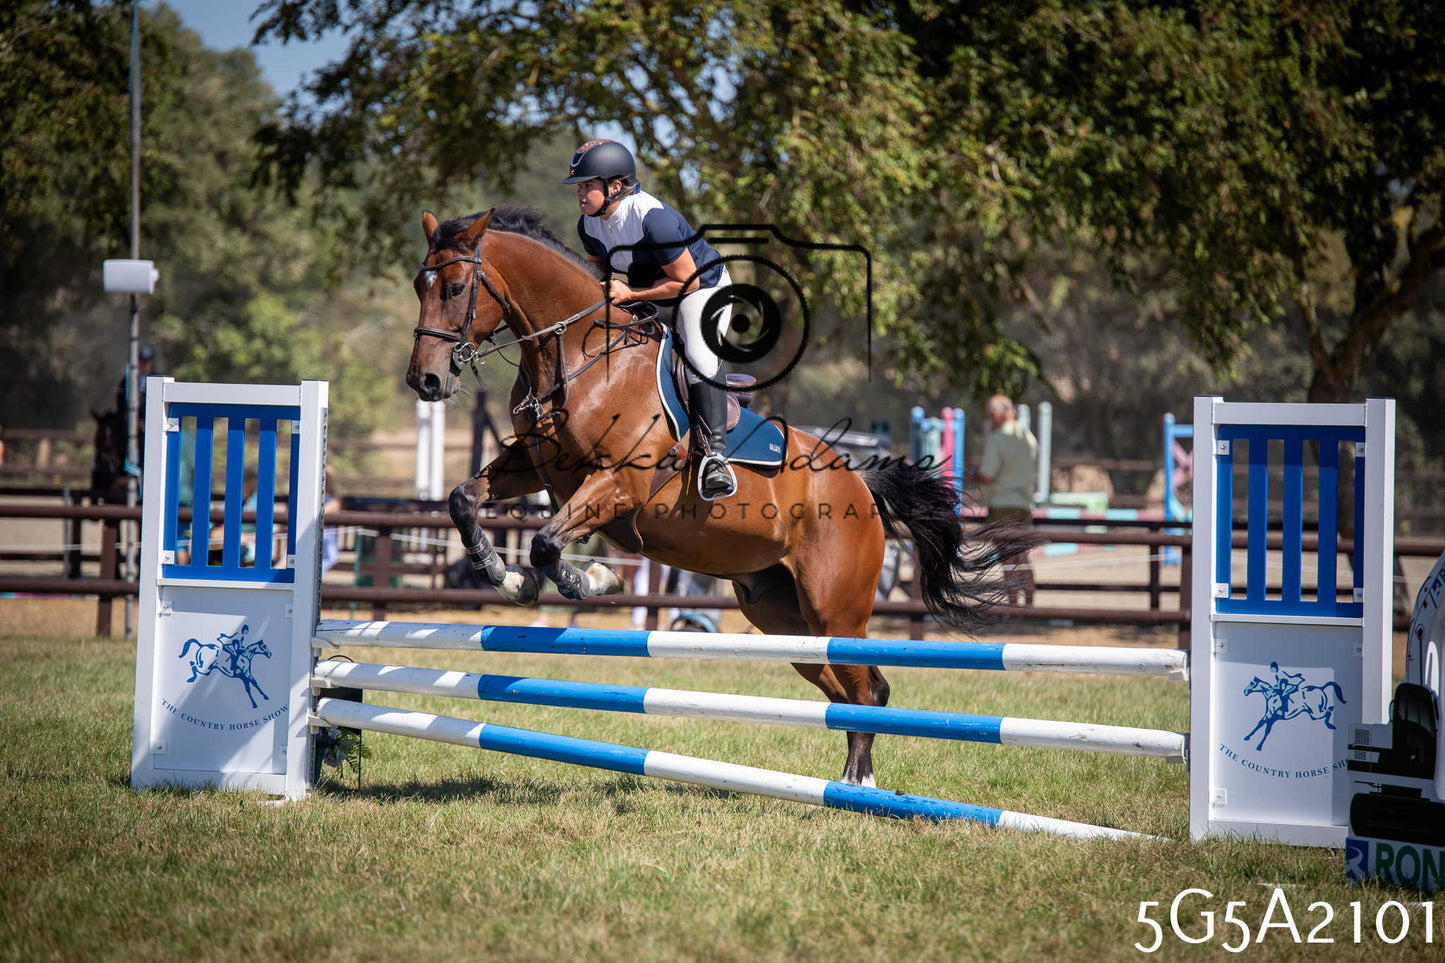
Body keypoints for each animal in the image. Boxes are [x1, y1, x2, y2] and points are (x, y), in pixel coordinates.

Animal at [406, 206, 1033, 786]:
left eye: (456, 288)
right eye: (419, 285)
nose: (425, 382)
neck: (580, 361)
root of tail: (859, 481)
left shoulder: (617, 484)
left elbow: (545, 541)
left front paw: (589, 580)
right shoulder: (535, 470)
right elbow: (464, 499)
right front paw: (503, 576)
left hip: (834, 608)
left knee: (868, 689)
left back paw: (859, 788)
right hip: (782, 616)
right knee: (846, 691)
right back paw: (850, 783)